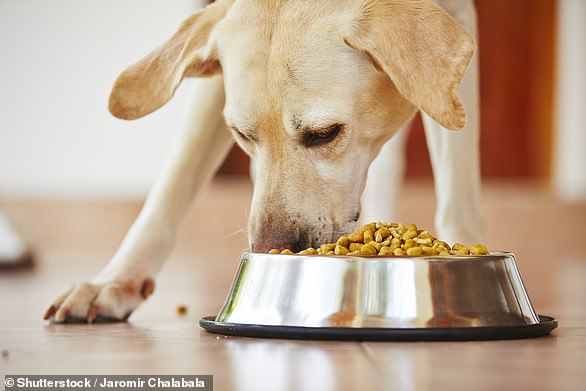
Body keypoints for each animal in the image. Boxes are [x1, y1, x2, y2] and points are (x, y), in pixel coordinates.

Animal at [43, 0, 482, 324]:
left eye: (325, 133)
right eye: (242, 135)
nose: (269, 249)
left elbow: (458, 189)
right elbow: (172, 185)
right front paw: (116, 282)